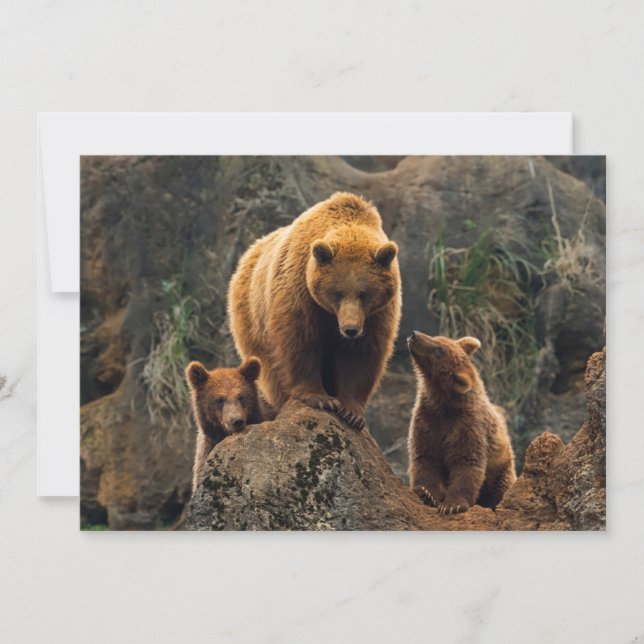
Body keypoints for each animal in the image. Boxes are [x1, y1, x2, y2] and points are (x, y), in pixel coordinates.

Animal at [228, 192, 401, 430]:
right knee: (270, 368)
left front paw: (352, 412)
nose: (350, 329)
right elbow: (299, 341)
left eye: (364, 293)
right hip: (252, 319)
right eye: (337, 292)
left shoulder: (377, 315)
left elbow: (362, 354)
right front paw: (320, 399)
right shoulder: (299, 291)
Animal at [406, 331, 516, 515]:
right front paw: (425, 493)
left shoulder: (467, 426)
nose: (414, 335)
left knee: (501, 489)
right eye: (438, 338)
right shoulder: (426, 421)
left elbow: (466, 463)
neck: (443, 404)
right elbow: (424, 458)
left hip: (501, 468)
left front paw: (452, 505)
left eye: (439, 350)